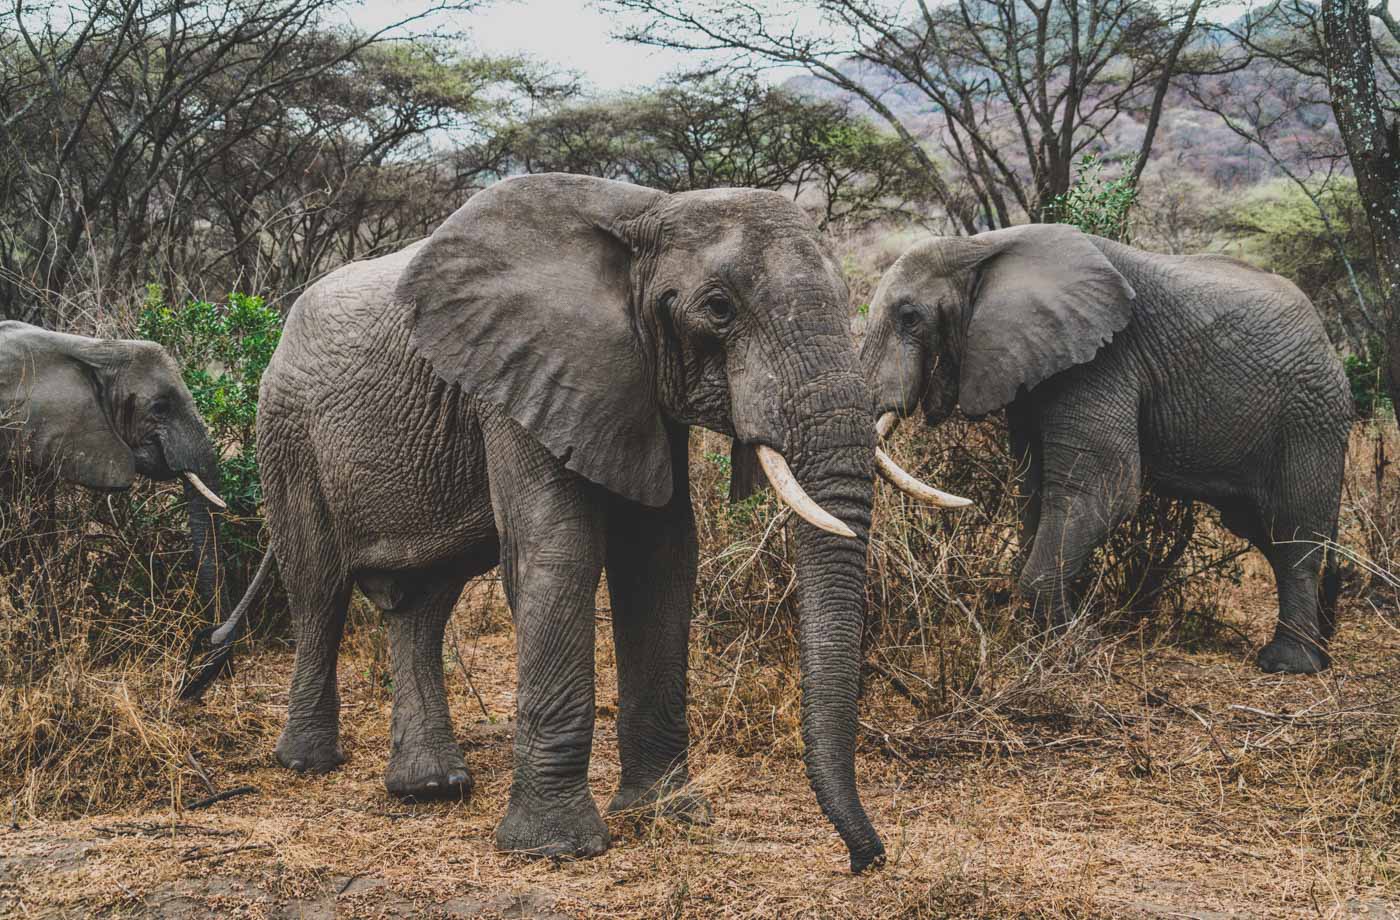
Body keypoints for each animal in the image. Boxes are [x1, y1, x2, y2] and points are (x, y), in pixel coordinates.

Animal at [189, 170, 952, 868]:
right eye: (718, 309)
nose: (866, 859)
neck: (649, 212)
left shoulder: (630, 382)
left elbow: (661, 558)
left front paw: (668, 815)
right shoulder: (519, 372)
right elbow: (559, 553)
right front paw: (555, 849)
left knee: (423, 603)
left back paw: (430, 787)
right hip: (286, 430)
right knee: (318, 588)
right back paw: (308, 762)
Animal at [856, 224, 1349, 674]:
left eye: (909, 316)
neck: (979, 246)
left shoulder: (1102, 361)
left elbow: (1102, 488)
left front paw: (1068, 645)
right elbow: (1033, 488)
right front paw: (1045, 635)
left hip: (1310, 415)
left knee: (1292, 532)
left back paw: (1289, 664)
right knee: (1262, 529)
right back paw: (1320, 648)